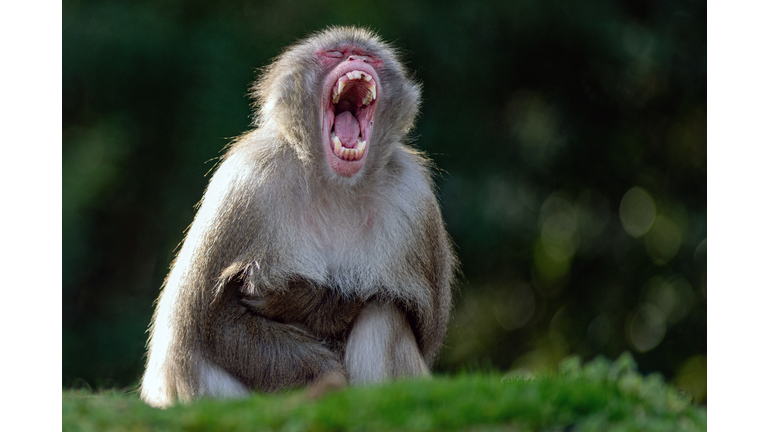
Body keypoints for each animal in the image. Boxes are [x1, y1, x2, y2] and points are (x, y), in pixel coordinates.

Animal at [138, 27, 456, 408]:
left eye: (370, 58)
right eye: (335, 54)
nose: (357, 59)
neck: (335, 183)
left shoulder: (415, 200)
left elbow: (425, 328)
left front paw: (318, 304)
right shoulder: (245, 186)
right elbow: (204, 322)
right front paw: (320, 353)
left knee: (383, 313)